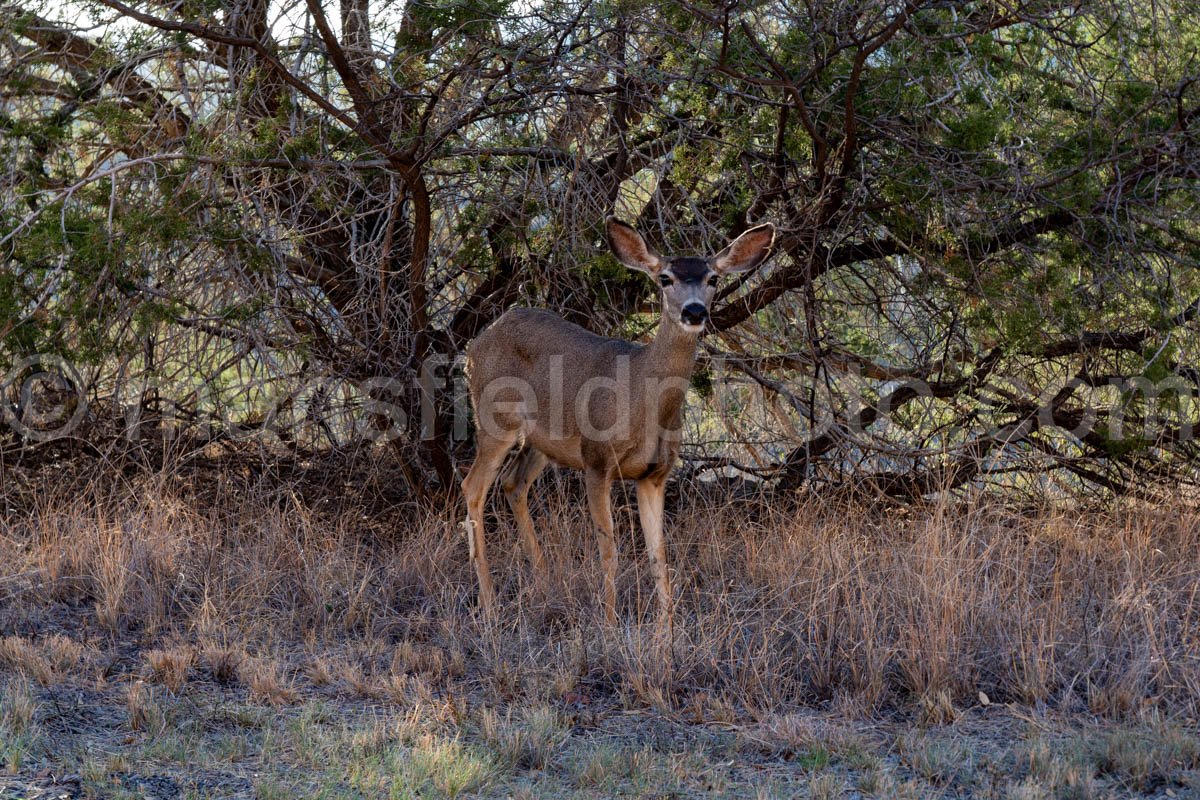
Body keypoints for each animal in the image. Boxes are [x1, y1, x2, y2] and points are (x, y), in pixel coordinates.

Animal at [458, 217, 777, 633]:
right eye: (665, 278)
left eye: (712, 278)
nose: (693, 312)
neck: (643, 401)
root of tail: (476, 343)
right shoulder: (596, 460)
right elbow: (608, 549)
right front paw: (609, 625)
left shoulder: (655, 474)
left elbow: (660, 555)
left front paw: (665, 633)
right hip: (495, 420)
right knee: (473, 486)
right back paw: (490, 604)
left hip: (544, 441)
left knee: (513, 483)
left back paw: (542, 583)